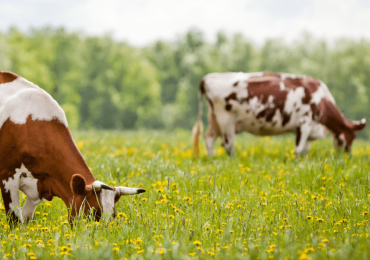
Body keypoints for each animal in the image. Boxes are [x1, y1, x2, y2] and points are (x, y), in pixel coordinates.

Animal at [0, 71, 145, 225]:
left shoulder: (39, 189)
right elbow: (15, 221)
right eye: (92, 213)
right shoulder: (8, 177)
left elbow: (26, 221)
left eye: (113, 216)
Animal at [192, 71, 366, 156]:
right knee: (228, 145)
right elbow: (298, 149)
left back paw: (212, 159)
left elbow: (305, 150)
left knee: (209, 138)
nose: (347, 157)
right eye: (350, 138)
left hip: (214, 120)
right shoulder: (305, 123)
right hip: (226, 121)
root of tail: (207, 77)